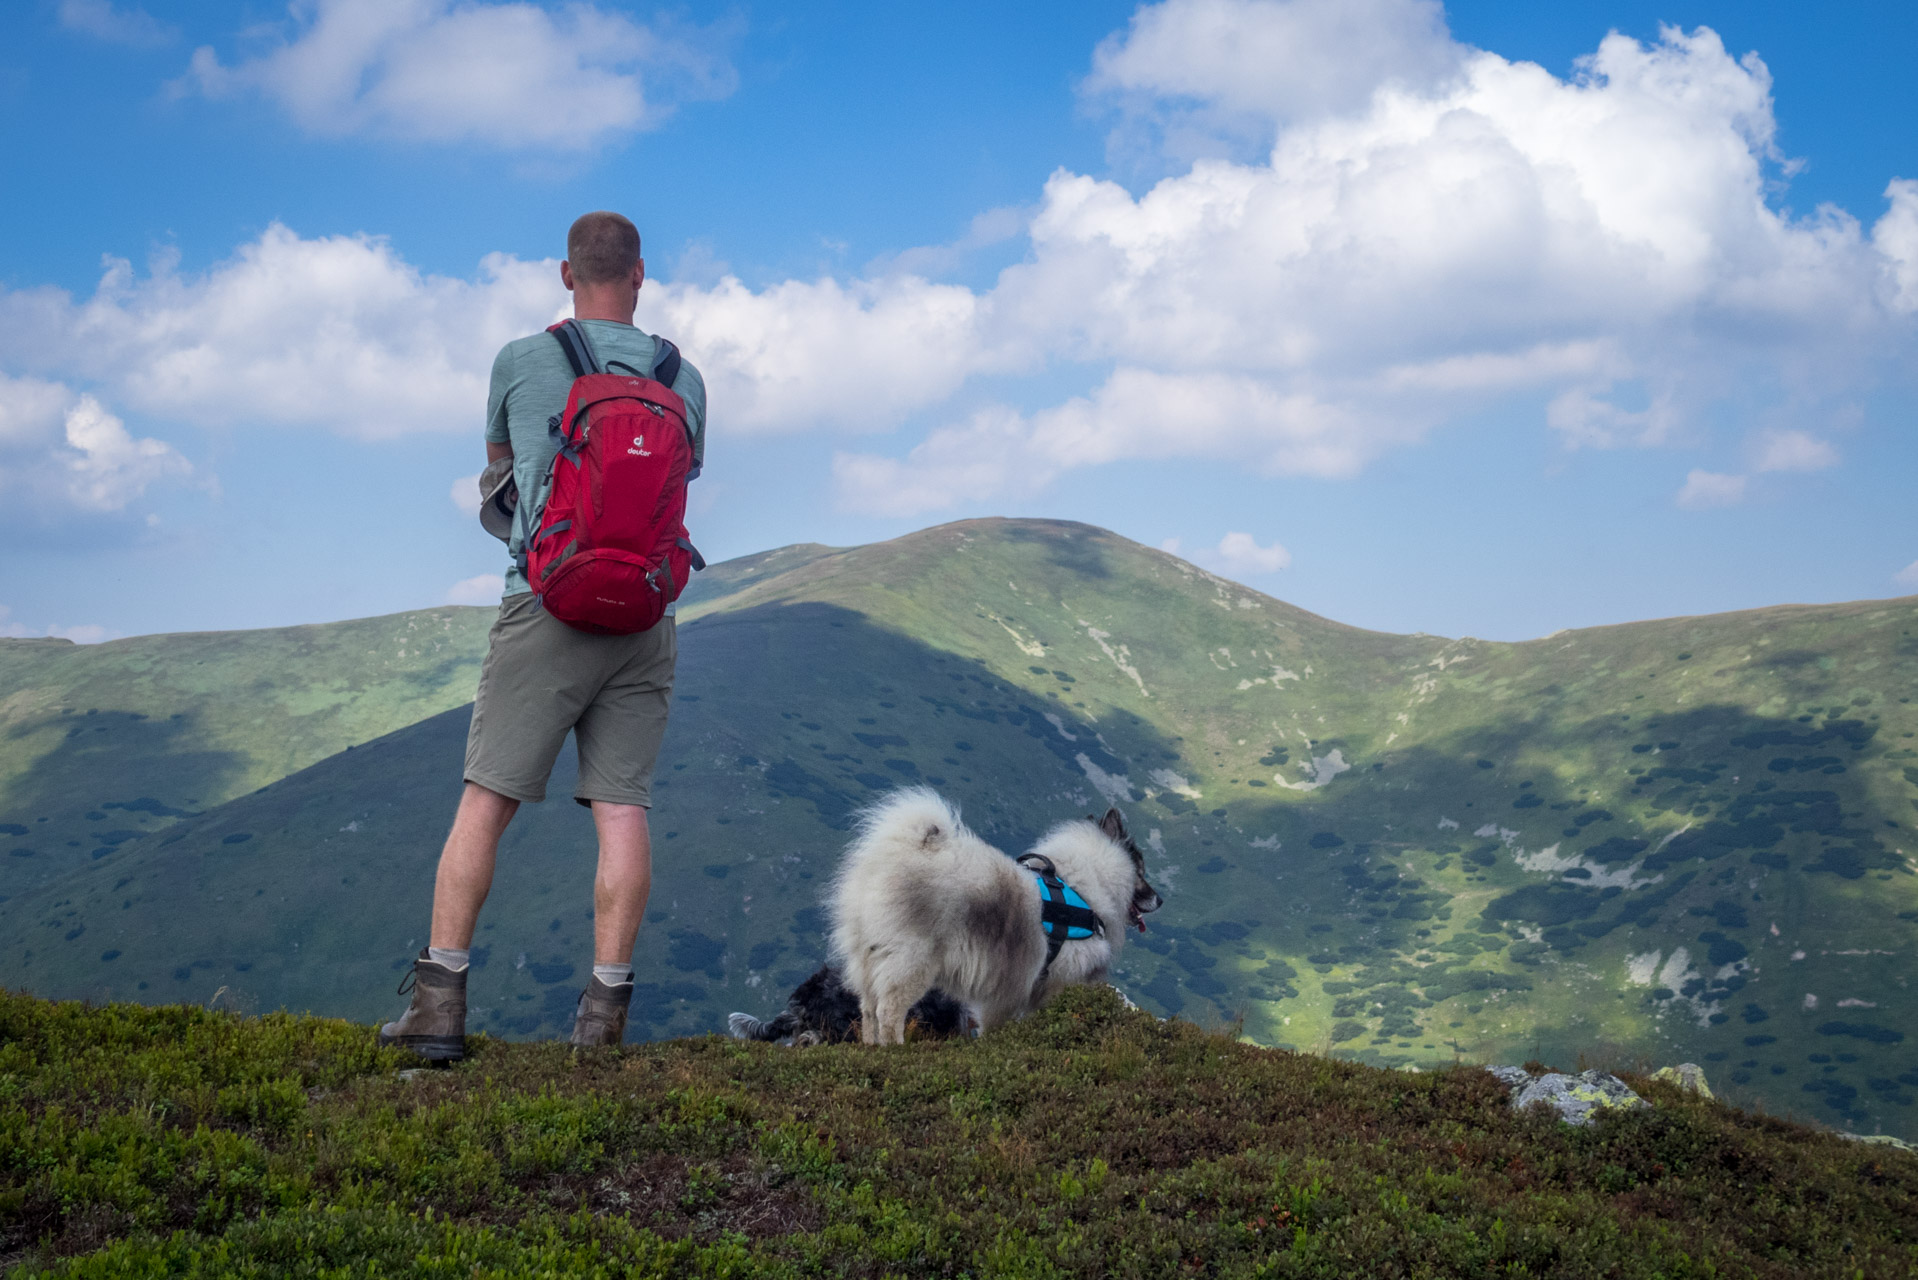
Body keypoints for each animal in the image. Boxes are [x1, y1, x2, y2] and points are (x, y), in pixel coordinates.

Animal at [820, 786, 1150, 1043]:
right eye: (1142, 873)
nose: (1157, 899)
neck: (1083, 889)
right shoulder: (1047, 984)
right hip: (912, 962)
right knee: (888, 1012)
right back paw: (895, 1049)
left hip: (867, 959)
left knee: (868, 1011)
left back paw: (872, 1048)